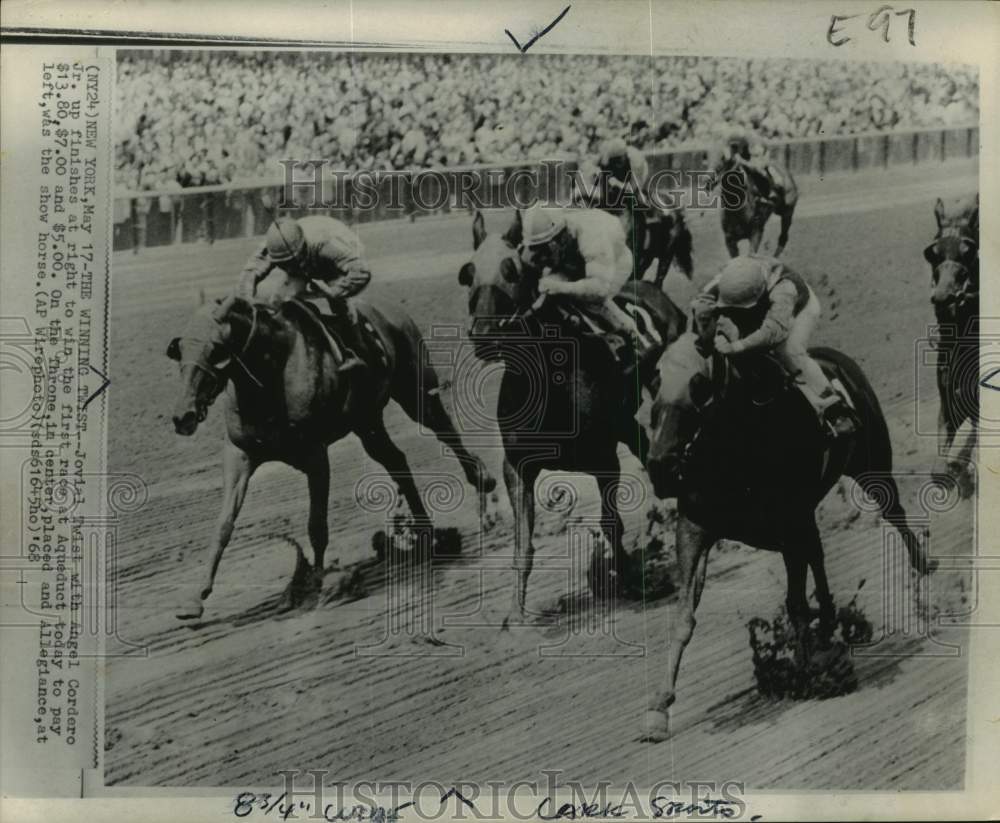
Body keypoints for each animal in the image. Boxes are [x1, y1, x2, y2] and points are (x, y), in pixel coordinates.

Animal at [166, 294, 498, 616]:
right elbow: (224, 524)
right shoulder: (240, 455)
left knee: (445, 432)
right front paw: (195, 597)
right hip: (367, 422)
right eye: (180, 349)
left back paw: (482, 481)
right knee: (396, 460)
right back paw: (426, 531)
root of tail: (389, 310)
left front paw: (318, 585)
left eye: (216, 350)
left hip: (416, 394)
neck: (271, 377)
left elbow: (317, 525)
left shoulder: (316, 457)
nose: (183, 416)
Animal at [458, 211, 688, 624]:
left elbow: (611, 523)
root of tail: (653, 288)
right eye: (469, 273)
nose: (483, 335)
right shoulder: (516, 467)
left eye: (512, 270)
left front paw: (630, 583)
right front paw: (515, 614)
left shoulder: (604, 459)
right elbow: (523, 545)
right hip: (627, 424)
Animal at [644, 334, 932, 740]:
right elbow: (685, 615)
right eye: (654, 382)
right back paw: (827, 621)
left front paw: (807, 673)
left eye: (700, 386)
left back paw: (921, 567)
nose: (661, 466)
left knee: (895, 514)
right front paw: (659, 705)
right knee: (819, 556)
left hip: (872, 467)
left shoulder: (790, 523)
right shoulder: (694, 527)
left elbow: (795, 603)